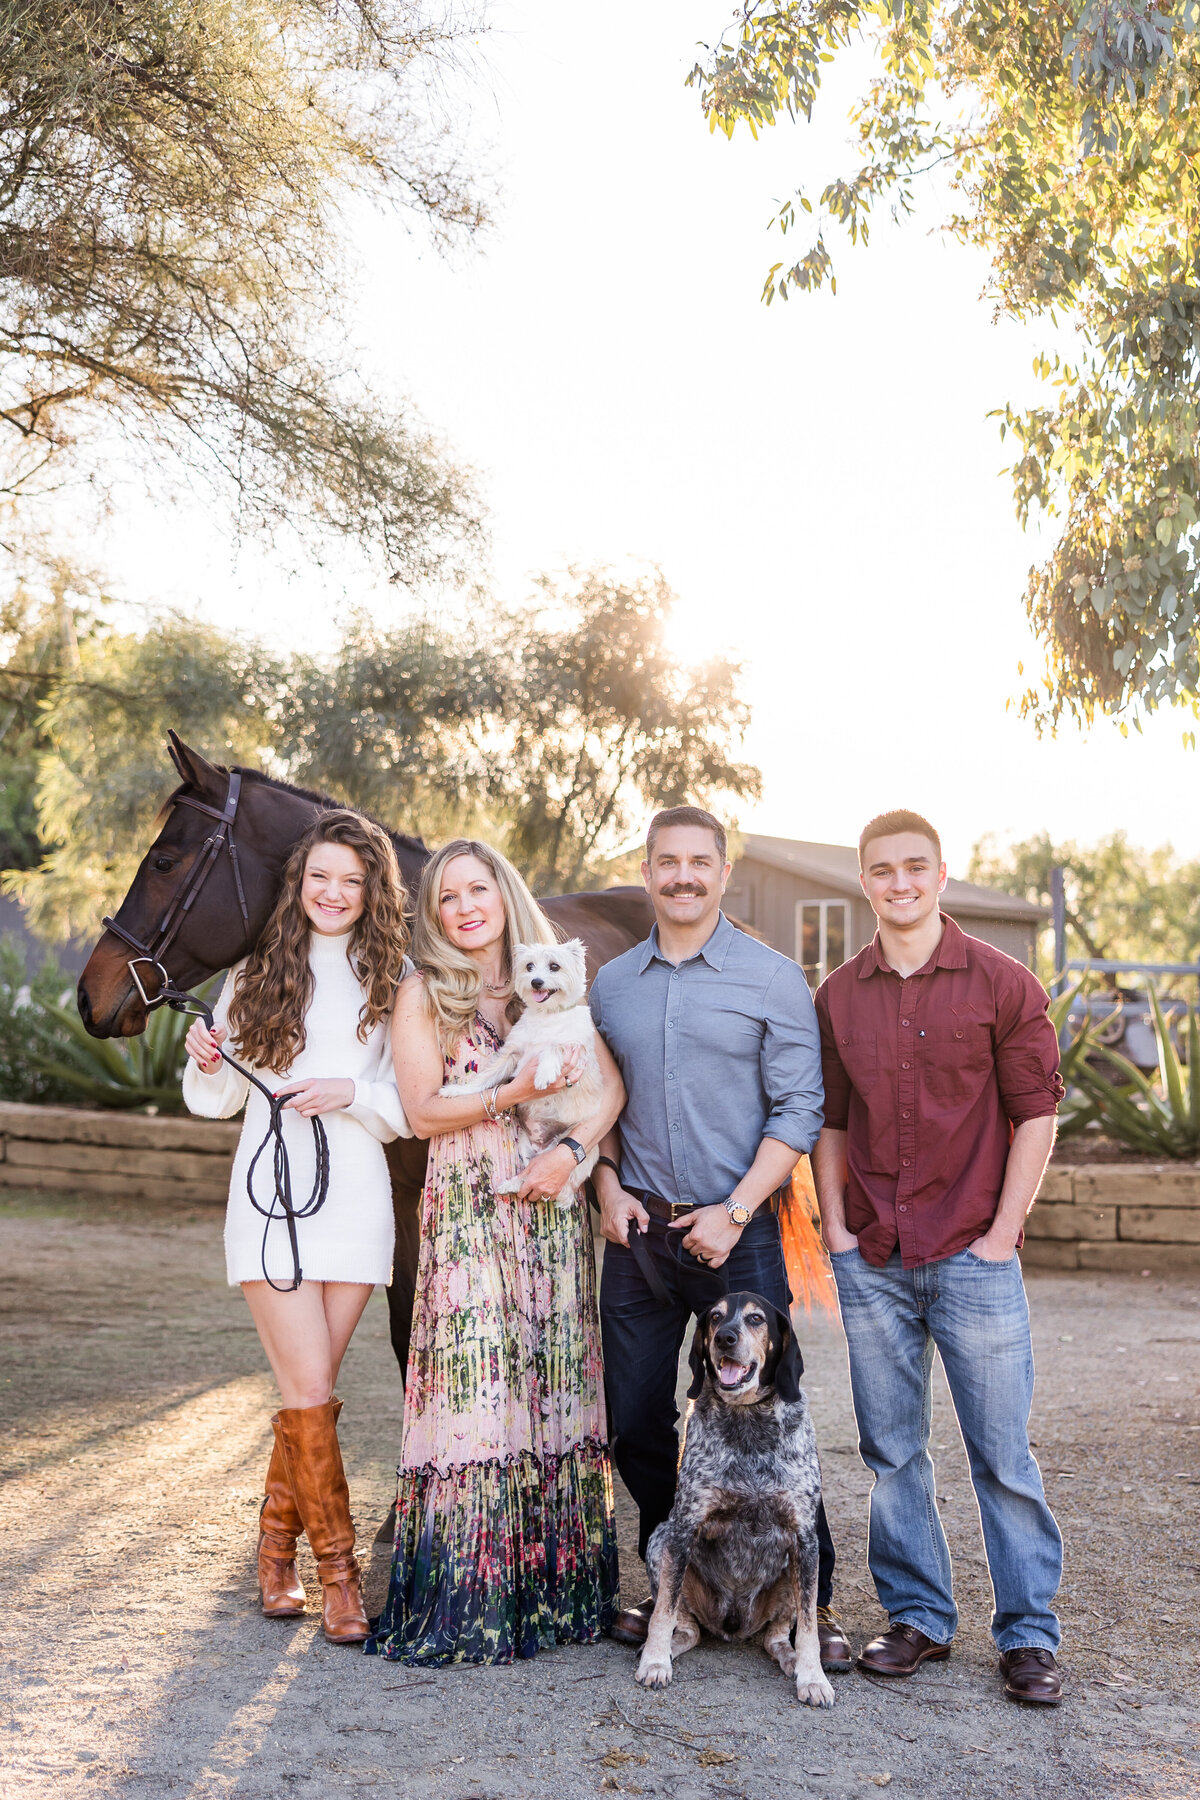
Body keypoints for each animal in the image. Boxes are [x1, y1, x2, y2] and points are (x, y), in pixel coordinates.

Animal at [438, 936, 600, 1202]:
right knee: (528, 1172)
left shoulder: (574, 1051)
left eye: (554, 966)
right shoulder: (511, 1054)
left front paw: (543, 1074)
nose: (536, 981)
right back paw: (510, 1185)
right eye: (529, 966)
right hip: (525, 1146)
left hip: (561, 1146)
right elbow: (482, 1079)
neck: (546, 1016)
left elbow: (551, 1049)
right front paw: (456, 1091)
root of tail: (540, 1144)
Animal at [636, 1296, 834, 1699]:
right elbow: (662, 1612)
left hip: (795, 1573)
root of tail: (733, 1623)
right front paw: (654, 1661)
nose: (724, 1338)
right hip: (660, 1541)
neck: (748, 1418)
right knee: (687, 1629)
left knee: (775, 1638)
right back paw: (663, 1649)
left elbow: (808, 1626)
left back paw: (792, 1662)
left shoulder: (805, 1540)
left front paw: (813, 1677)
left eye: (756, 1318)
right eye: (715, 1316)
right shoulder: (683, 1528)